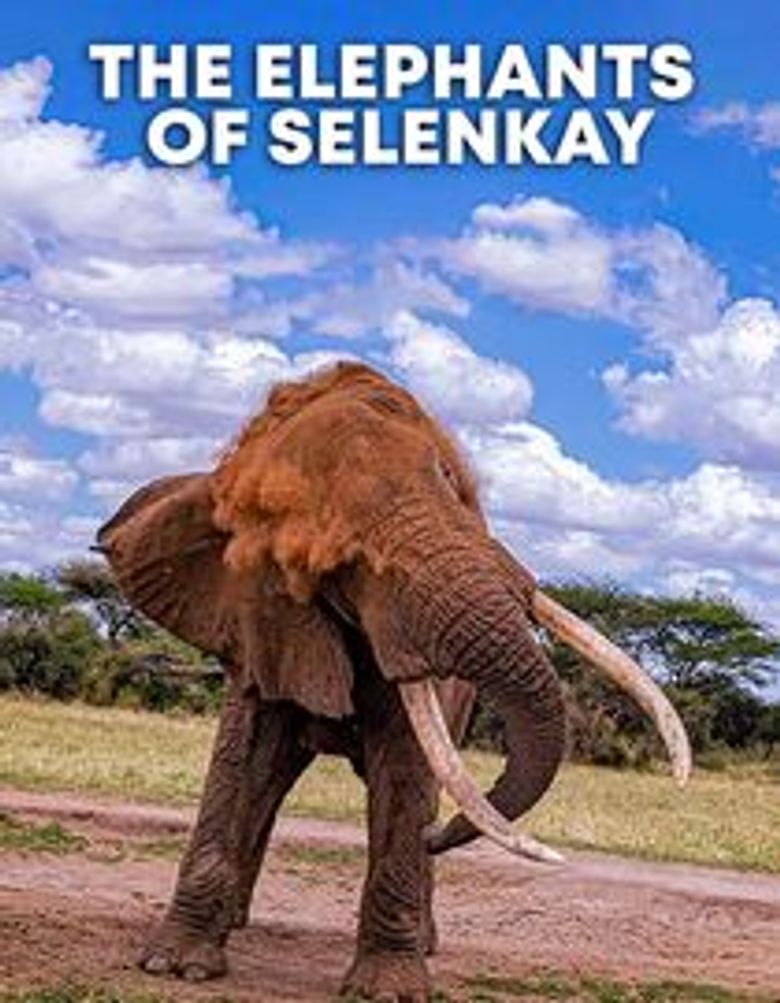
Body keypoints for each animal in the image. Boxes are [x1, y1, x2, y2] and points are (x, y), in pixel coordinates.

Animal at [97, 361, 691, 1002]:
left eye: (450, 484)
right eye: (339, 563)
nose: (438, 836)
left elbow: (405, 768)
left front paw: (388, 991)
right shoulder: (257, 619)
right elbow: (244, 757)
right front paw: (175, 966)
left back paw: (422, 934)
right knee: (272, 781)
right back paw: (240, 921)